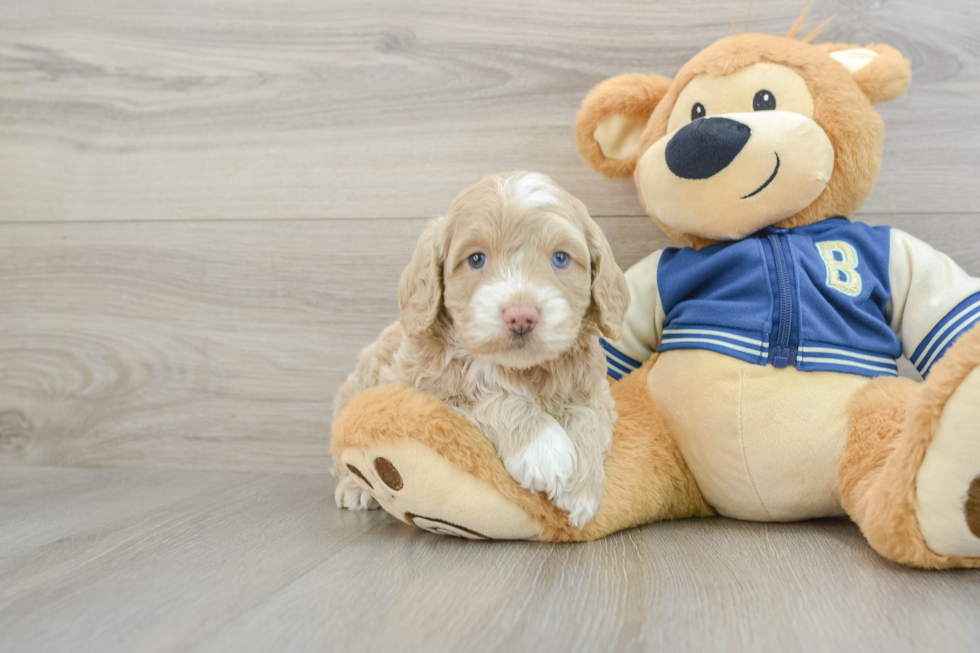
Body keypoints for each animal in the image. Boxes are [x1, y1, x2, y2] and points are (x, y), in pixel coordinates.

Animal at [332, 171, 628, 528]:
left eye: (560, 258)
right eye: (476, 259)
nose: (520, 315)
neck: (517, 369)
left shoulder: (595, 389)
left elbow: (589, 418)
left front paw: (582, 489)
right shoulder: (421, 390)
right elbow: (489, 396)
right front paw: (542, 447)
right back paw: (355, 488)